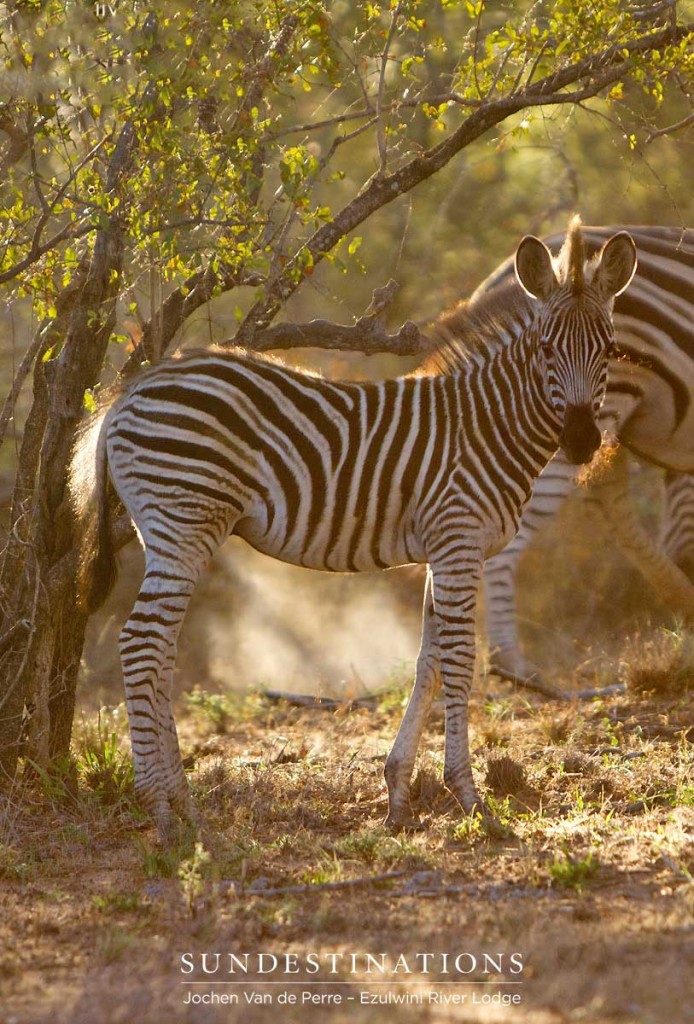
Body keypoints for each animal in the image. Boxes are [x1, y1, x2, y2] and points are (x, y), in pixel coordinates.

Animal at [69, 218, 634, 839]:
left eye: (609, 350)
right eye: (546, 348)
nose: (581, 442)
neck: (488, 424)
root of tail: (129, 391)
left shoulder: (443, 551)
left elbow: (428, 661)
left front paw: (399, 796)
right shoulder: (460, 542)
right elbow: (460, 661)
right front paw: (470, 799)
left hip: (171, 532)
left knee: (160, 652)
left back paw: (184, 804)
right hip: (184, 522)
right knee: (142, 644)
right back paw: (161, 810)